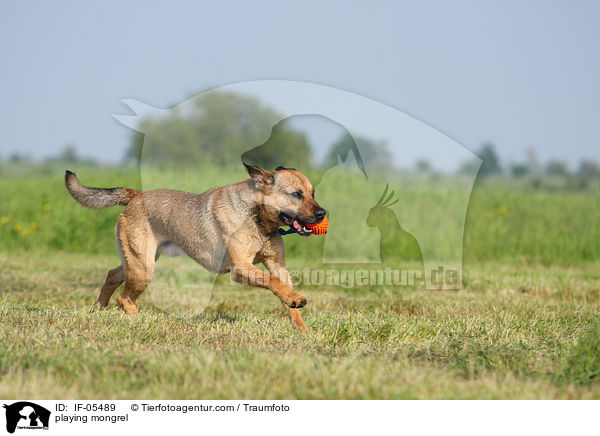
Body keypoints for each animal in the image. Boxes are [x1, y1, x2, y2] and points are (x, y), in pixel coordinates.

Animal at [65, 164, 326, 330]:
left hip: (139, 261)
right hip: (142, 268)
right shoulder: (241, 268)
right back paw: (138, 321)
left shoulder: (277, 265)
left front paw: (302, 329)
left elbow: (283, 288)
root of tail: (136, 195)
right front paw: (295, 300)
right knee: (124, 298)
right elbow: (273, 282)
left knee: (112, 275)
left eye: (313, 193)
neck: (258, 218)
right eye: (296, 194)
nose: (323, 213)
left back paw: (98, 309)